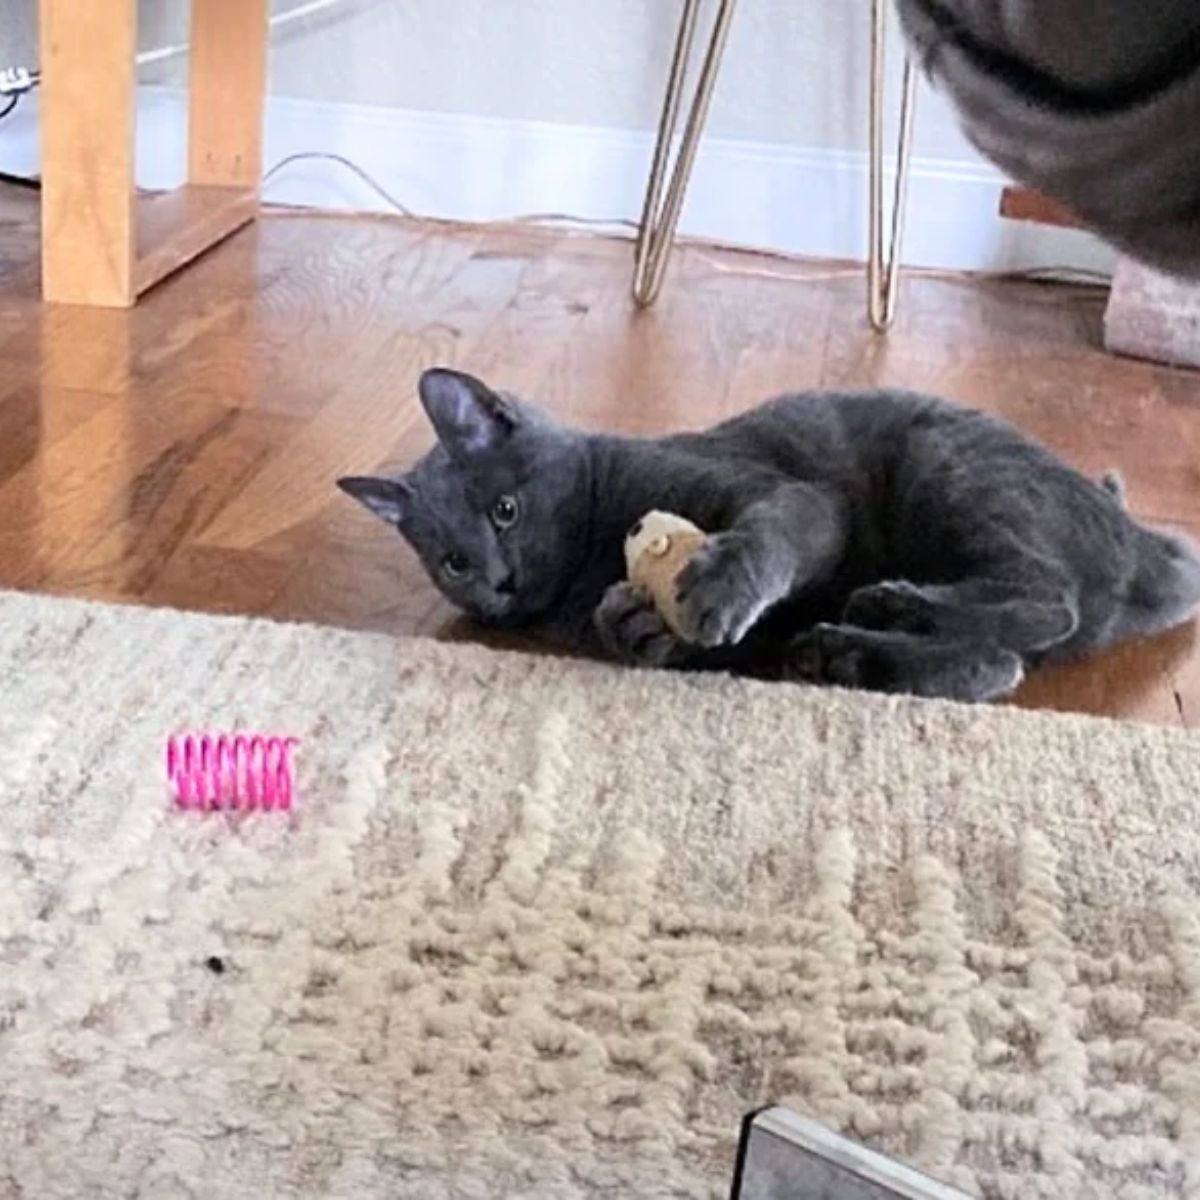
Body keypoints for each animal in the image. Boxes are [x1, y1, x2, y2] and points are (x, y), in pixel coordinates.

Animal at [338, 369, 1200, 700]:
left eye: (505, 512)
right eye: (452, 562)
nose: (498, 583)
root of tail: (1138, 538)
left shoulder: (786, 495)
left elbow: (772, 533)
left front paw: (714, 589)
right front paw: (633, 623)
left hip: (953, 466)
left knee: (1047, 601)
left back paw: (890, 607)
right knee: (1000, 665)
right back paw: (846, 652)